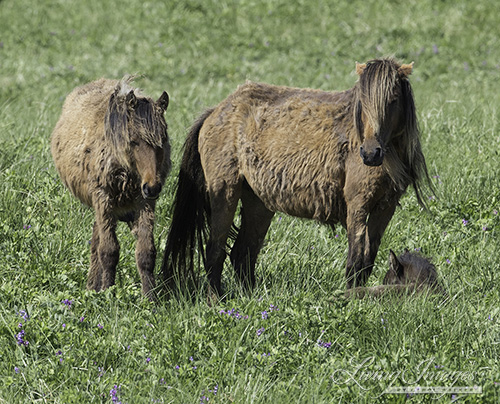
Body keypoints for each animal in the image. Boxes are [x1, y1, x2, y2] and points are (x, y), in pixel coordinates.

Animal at [51, 77, 171, 298]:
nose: (152, 187)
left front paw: (150, 297)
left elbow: (146, 252)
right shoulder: (103, 197)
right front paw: (108, 292)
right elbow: (109, 251)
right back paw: (94, 286)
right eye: (134, 141)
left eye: (163, 140)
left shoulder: (144, 203)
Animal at [163, 57, 430, 296]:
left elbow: (368, 258)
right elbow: (356, 259)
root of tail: (215, 110)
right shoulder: (358, 205)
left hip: (258, 204)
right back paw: (215, 300)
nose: (370, 153)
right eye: (362, 103)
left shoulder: (385, 208)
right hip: (225, 195)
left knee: (242, 253)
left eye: (393, 100)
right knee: (215, 250)